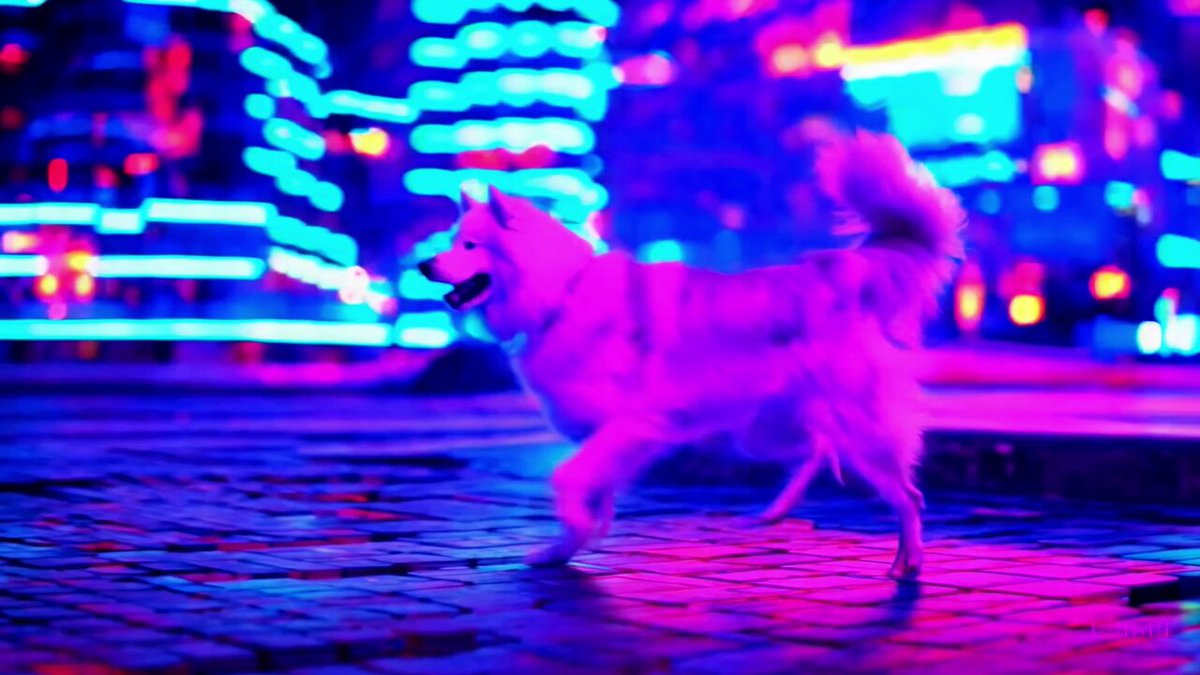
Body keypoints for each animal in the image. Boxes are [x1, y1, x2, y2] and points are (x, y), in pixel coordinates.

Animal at [422, 131, 964, 578]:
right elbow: (592, 495)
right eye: (452, 242)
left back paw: (908, 563)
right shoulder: (612, 436)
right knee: (817, 450)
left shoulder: (632, 425)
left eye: (470, 246)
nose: (424, 266)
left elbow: (566, 479)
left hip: (854, 427)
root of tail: (837, 275)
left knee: (908, 496)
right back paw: (778, 512)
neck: (561, 293)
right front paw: (563, 548)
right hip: (761, 433)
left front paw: (571, 532)